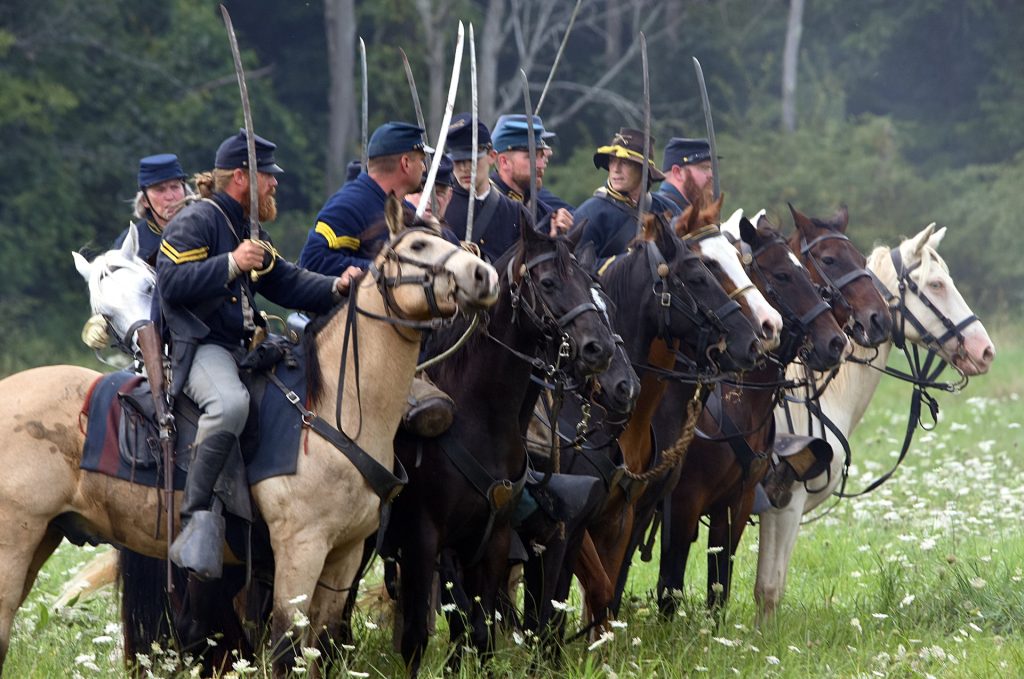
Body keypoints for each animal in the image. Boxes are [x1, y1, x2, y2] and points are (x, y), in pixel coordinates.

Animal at [0, 193, 499, 675]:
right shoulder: (299, 552)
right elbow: (284, 651)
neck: (331, 410)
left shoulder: (343, 557)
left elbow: (320, 649)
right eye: (418, 246)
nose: (484, 275)